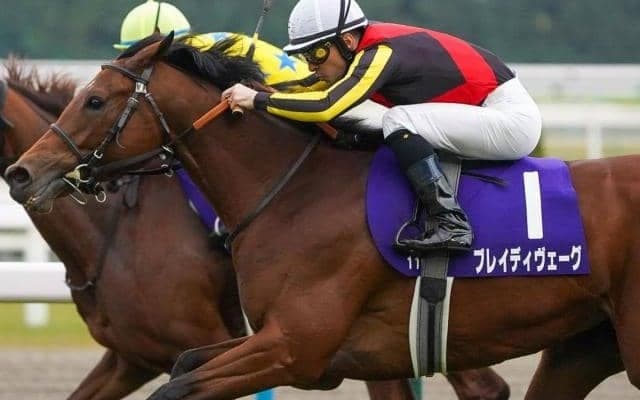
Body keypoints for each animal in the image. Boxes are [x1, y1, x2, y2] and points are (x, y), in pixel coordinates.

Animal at [4, 35, 630, 399]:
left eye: (94, 101)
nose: (22, 174)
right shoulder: (144, 353)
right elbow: (177, 370)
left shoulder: (291, 349)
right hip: (580, 345)